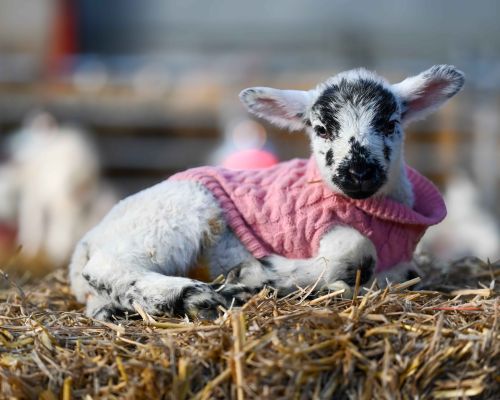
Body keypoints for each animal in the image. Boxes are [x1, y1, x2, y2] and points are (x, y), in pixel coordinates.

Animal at [69, 66, 464, 322]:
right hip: (178, 217)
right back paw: (201, 294)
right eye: (321, 128)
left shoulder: (401, 267)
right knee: (108, 266)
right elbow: (357, 250)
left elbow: (398, 274)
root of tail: (86, 242)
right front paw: (264, 272)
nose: (358, 172)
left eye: (390, 123)